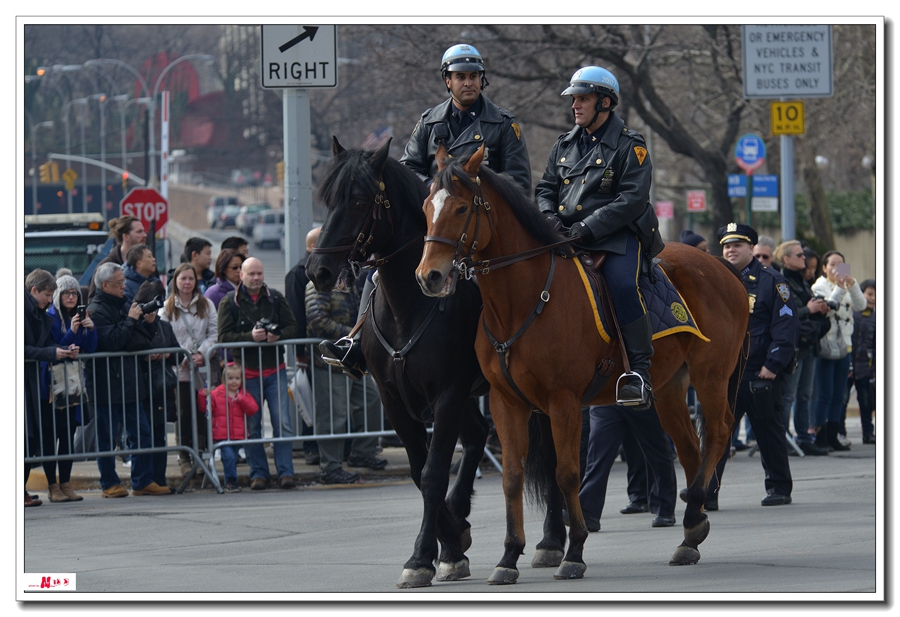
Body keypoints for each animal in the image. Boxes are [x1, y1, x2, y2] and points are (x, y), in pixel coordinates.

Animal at [306, 137, 490, 588]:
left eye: (358, 200)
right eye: (328, 199)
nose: (318, 270)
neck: (412, 303)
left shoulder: (448, 394)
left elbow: (432, 473)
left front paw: (424, 557)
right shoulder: (394, 398)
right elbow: (419, 470)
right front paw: (450, 544)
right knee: (479, 436)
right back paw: (460, 515)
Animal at [415, 144, 749, 584]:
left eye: (460, 208)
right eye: (425, 208)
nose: (429, 276)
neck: (523, 300)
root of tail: (721, 265)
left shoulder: (564, 402)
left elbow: (567, 473)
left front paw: (572, 552)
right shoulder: (507, 402)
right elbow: (512, 477)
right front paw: (509, 557)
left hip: (709, 377)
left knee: (720, 431)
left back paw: (694, 507)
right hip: (668, 389)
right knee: (690, 448)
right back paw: (691, 529)